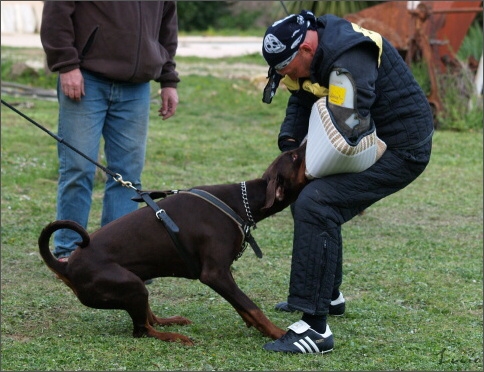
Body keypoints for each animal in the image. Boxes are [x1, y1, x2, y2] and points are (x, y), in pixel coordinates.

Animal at [39, 143, 308, 346]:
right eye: (295, 156)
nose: (305, 138)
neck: (241, 202)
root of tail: (65, 265)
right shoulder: (215, 274)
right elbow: (252, 306)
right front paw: (278, 333)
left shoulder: (225, 273)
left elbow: (243, 306)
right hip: (131, 285)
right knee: (142, 330)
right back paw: (175, 336)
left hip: (136, 283)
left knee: (149, 319)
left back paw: (170, 321)